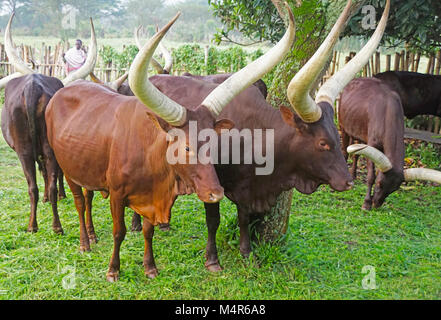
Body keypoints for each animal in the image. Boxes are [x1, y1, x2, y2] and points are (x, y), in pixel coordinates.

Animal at [0, 13, 97, 232]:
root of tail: (32, 87)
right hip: (39, 148)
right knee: (39, 183)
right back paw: (48, 224)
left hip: (26, 150)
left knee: (36, 184)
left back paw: (41, 225)